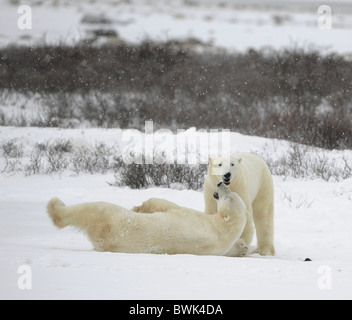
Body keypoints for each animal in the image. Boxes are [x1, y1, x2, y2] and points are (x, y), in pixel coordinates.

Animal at [46, 182, 248, 255]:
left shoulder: (190, 217)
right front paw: (242, 246)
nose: (221, 183)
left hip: (110, 220)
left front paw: (140, 207)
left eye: (229, 196)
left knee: (92, 209)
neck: (220, 229)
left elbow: (167, 206)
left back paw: (55, 206)